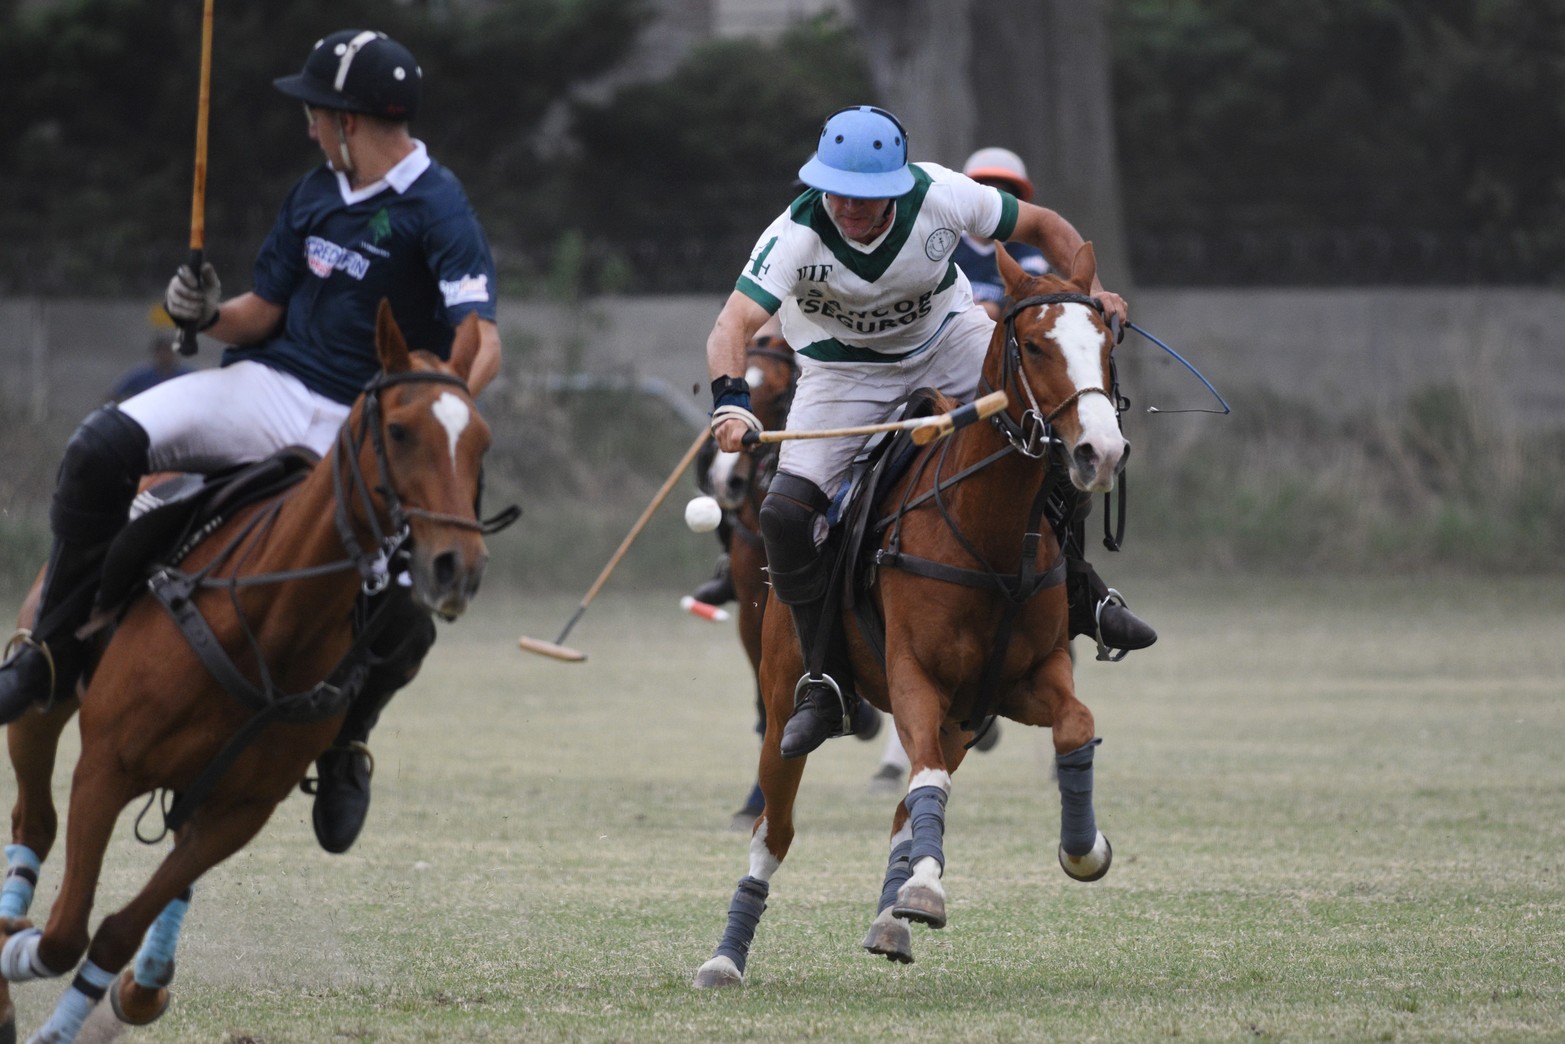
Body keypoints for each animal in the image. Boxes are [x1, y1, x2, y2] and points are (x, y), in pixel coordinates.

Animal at [0, 306, 500, 1039]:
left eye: (481, 444)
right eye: (400, 430)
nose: (454, 566)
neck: (268, 621)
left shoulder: (239, 812)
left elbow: (114, 930)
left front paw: (104, 1002)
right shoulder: (105, 768)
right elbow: (63, 932)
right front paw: (18, 952)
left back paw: (141, 985)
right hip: (44, 702)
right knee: (33, 816)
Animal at [697, 241, 1126, 982]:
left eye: (1103, 342)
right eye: (1038, 346)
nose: (1100, 450)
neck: (988, 531)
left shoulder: (1022, 680)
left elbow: (1075, 725)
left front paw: (1083, 848)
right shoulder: (914, 676)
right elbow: (923, 774)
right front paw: (925, 888)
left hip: (961, 719)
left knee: (908, 809)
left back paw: (889, 917)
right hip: (786, 689)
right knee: (774, 827)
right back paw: (727, 956)